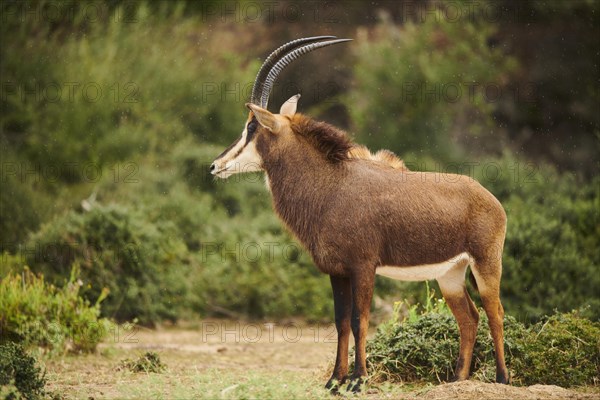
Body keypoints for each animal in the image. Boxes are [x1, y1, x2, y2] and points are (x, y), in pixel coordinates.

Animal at [211, 36, 506, 392]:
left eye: (251, 127)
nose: (215, 165)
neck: (331, 184)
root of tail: (490, 198)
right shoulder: (336, 271)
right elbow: (340, 322)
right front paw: (334, 380)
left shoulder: (363, 267)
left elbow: (359, 320)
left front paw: (357, 379)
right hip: (450, 274)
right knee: (469, 318)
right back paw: (455, 380)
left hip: (486, 264)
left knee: (495, 313)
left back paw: (503, 378)